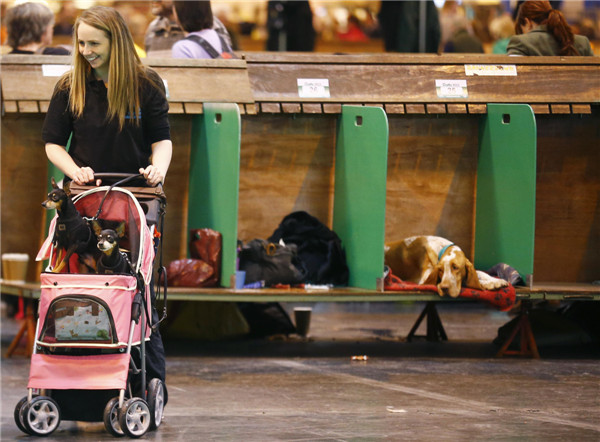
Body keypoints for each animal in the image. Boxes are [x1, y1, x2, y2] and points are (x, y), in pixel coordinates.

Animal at [14, 174, 169, 436]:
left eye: (54, 196)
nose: (44, 204)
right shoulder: (61, 243)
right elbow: (61, 260)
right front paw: (37, 410)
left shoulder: (74, 245)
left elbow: (66, 257)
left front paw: (127, 413)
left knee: (148, 383)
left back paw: (151, 402)